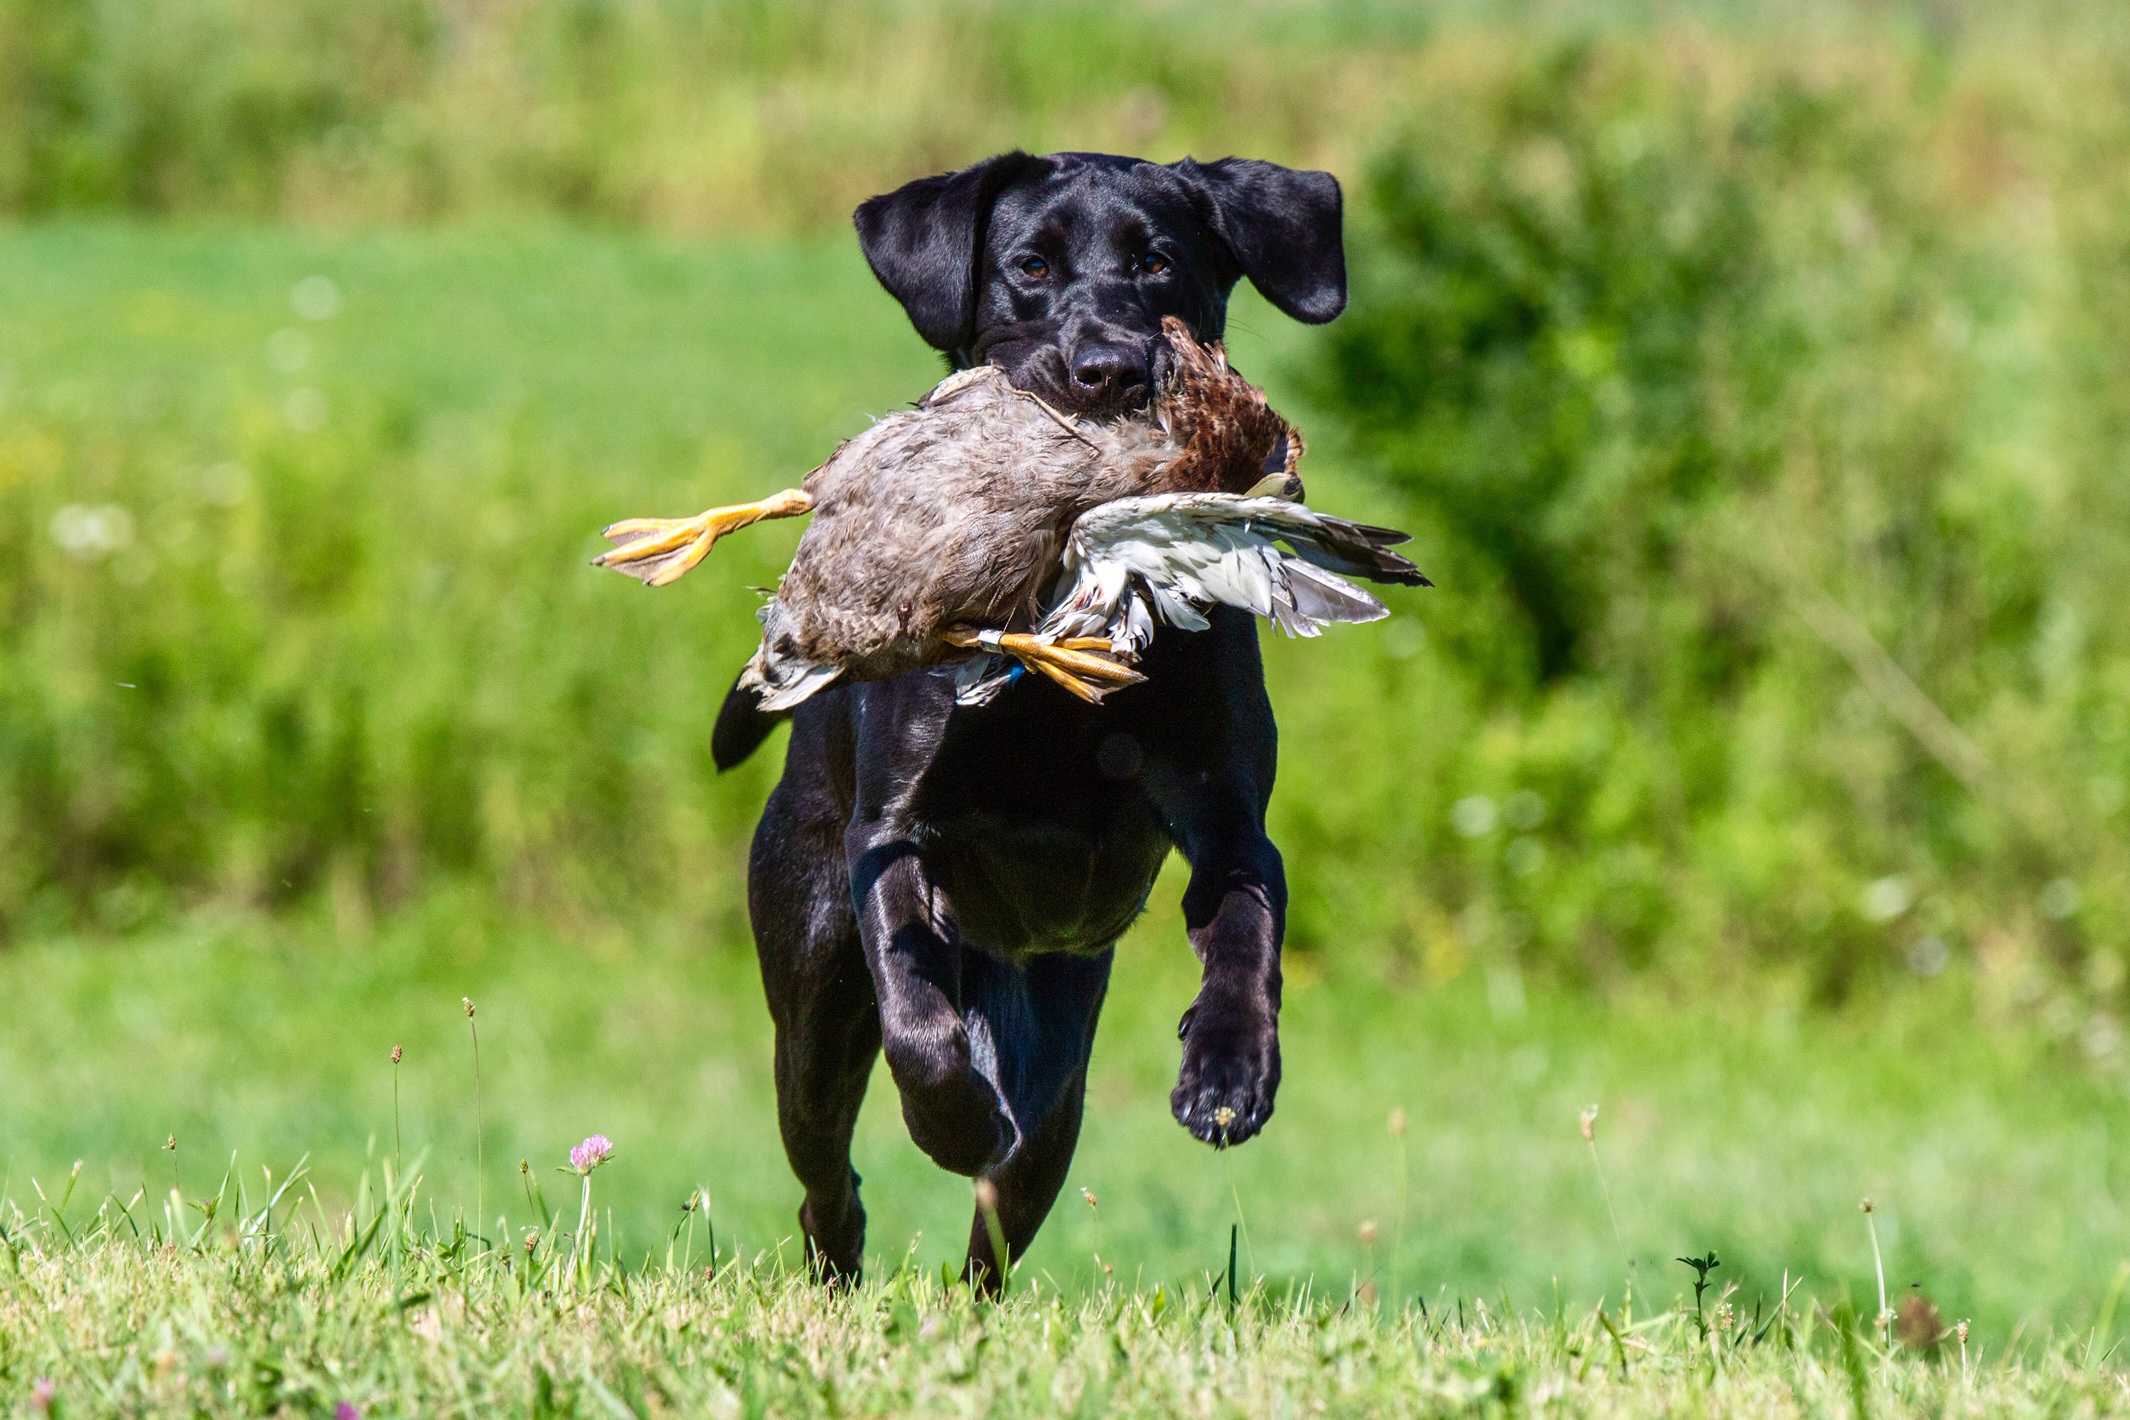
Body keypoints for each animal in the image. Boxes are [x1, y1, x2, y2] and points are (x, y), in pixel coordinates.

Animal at [715, 153, 1346, 1285]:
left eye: (1159, 261)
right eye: (1030, 266)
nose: (1109, 370)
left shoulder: (1230, 815)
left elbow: (1247, 927)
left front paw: (1229, 1071)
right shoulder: (893, 832)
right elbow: (915, 1017)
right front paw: (951, 1115)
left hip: (1060, 1064)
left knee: (1003, 1222)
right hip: (811, 1006)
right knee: (829, 1172)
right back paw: (851, 1249)